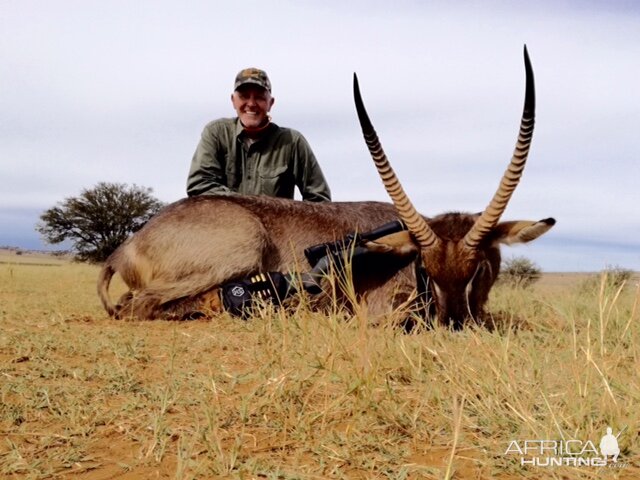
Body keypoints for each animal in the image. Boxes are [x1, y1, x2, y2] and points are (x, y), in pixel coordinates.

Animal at [97, 47, 552, 328]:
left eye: (479, 269)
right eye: (426, 267)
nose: (454, 324)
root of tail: (127, 246)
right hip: (241, 248)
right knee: (138, 305)